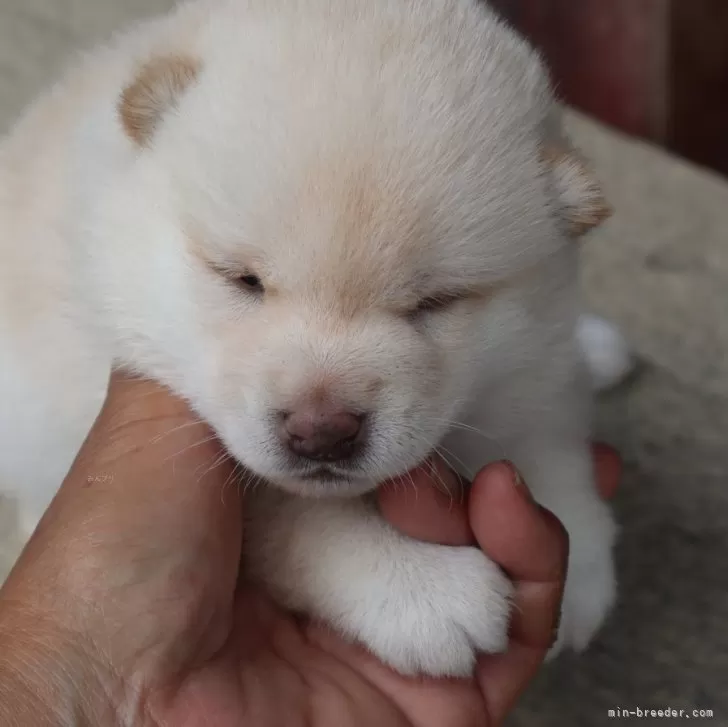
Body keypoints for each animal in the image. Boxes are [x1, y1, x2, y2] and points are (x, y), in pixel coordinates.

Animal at [0, 0, 624, 676]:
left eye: (435, 302)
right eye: (242, 278)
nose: (322, 431)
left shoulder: (532, 355)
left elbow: (545, 435)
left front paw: (578, 563)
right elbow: (295, 517)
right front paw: (425, 588)